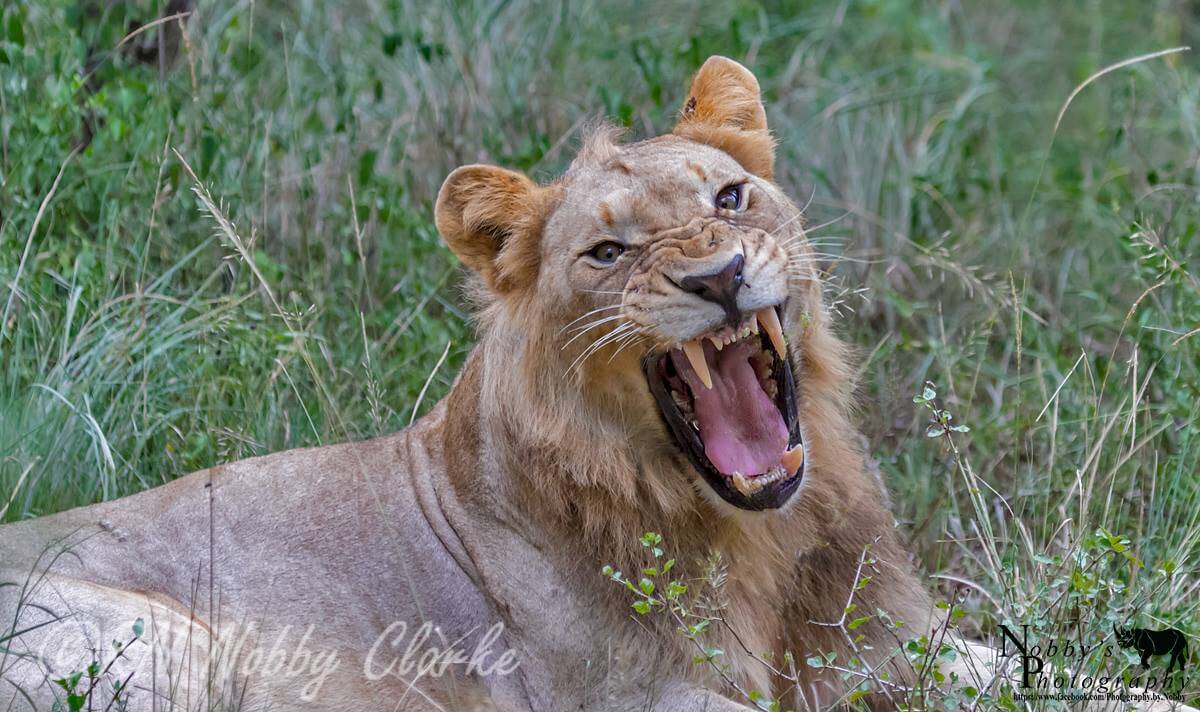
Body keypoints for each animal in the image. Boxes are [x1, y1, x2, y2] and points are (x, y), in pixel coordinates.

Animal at [1, 56, 980, 711]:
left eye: (731, 199)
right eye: (608, 252)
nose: (720, 276)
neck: (757, 541)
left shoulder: (894, 644)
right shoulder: (631, 698)